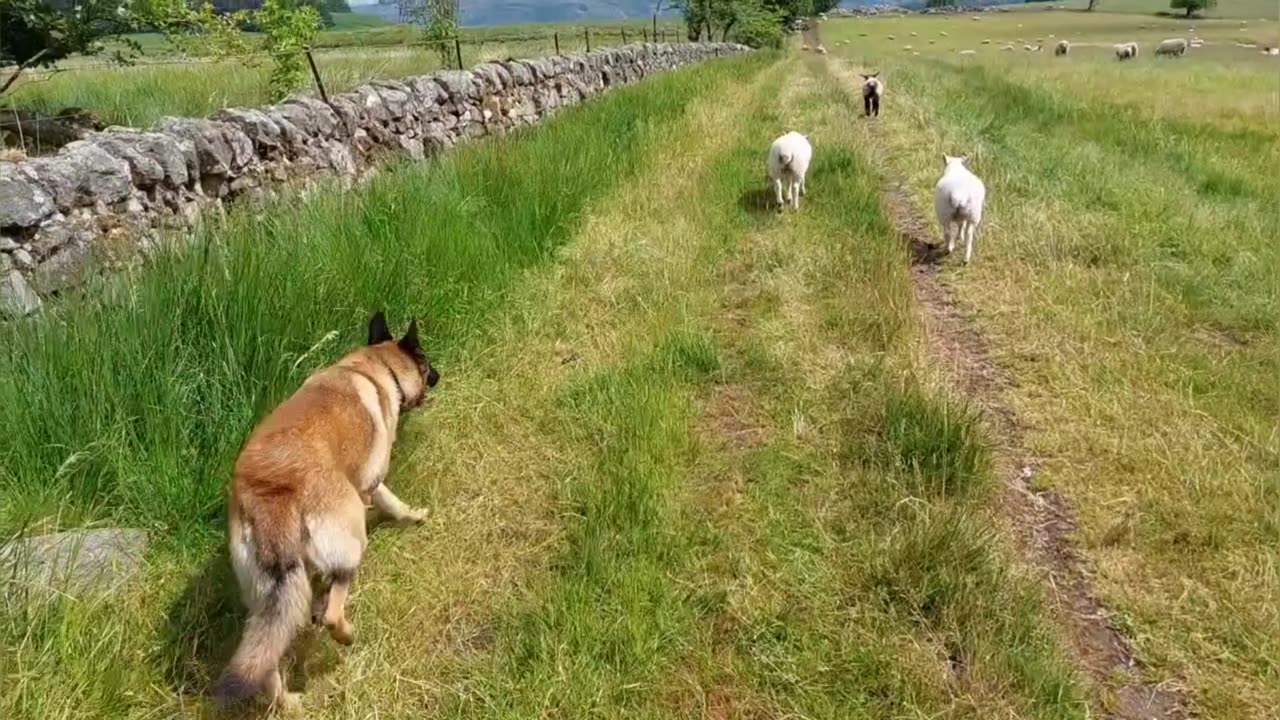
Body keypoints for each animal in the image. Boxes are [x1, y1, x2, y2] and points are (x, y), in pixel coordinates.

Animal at [215, 310, 440, 707]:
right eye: (426, 362)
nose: (440, 375)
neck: (375, 367)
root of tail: (275, 493)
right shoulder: (371, 481)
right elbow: (391, 500)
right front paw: (414, 516)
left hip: (267, 601)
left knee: (267, 657)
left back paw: (287, 703)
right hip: (351, 543)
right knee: (333, 611)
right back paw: (346, 634)